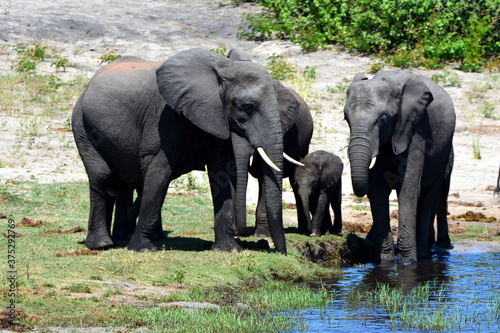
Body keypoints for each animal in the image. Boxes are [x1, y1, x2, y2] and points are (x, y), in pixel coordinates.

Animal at [72, 48, 298, 253]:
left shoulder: (216, 118)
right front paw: (142, 249)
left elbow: (221, 173)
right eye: (248, 106)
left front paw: (229, 250)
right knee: (102, 177)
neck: (224, 67)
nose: (280, 252)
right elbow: (159, 173)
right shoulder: (163, 117)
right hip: (83, 126)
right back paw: (102, 245)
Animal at [346, 68, 456, 264]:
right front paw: (385, 262)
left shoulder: (416, 128)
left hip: (443, 154)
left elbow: (408, 188)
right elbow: (377, 187)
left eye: (383, 119)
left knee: (430, 195)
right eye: (346, 119)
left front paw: (407, 263)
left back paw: (423, 255)